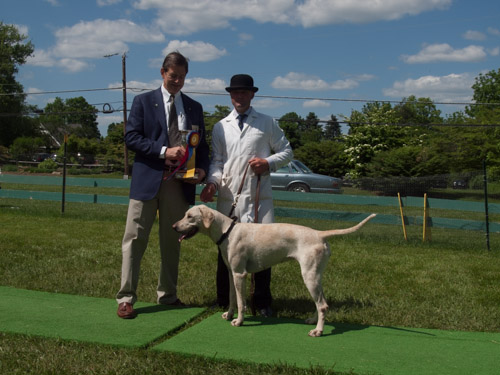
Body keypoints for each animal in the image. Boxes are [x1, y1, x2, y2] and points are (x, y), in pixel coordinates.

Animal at [174, 206, 374, 338]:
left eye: (189, 216)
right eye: (184, 215)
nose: (174, 226)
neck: (227, 232)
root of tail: (320, 233)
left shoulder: (240, 275)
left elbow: (241, 302)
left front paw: (239, 321)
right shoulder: (232, 274)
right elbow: (232, 299)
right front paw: (229, 315)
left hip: (309, 276)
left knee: (322, 305)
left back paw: (318, 331)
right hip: (316, 276)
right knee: (320, 303)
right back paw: (312, 321)